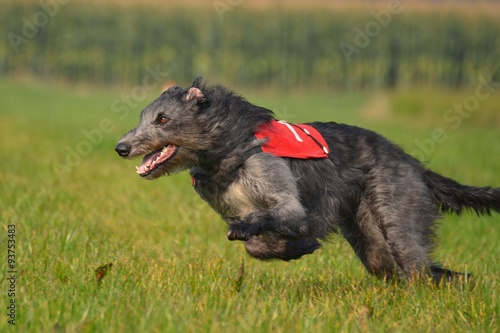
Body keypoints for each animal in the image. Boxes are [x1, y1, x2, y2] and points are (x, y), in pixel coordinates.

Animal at [114, 78, 500, 282]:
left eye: (163, 119)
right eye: (143, 116)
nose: (121, 147)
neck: (231, 149)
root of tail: (413, 163)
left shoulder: (280, 190)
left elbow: (277, 217)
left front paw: (292, 243)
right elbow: (256, 243)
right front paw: (293, 248)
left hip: (398, 210)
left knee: (415, 263)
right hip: (367, 231)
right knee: (396, 265)